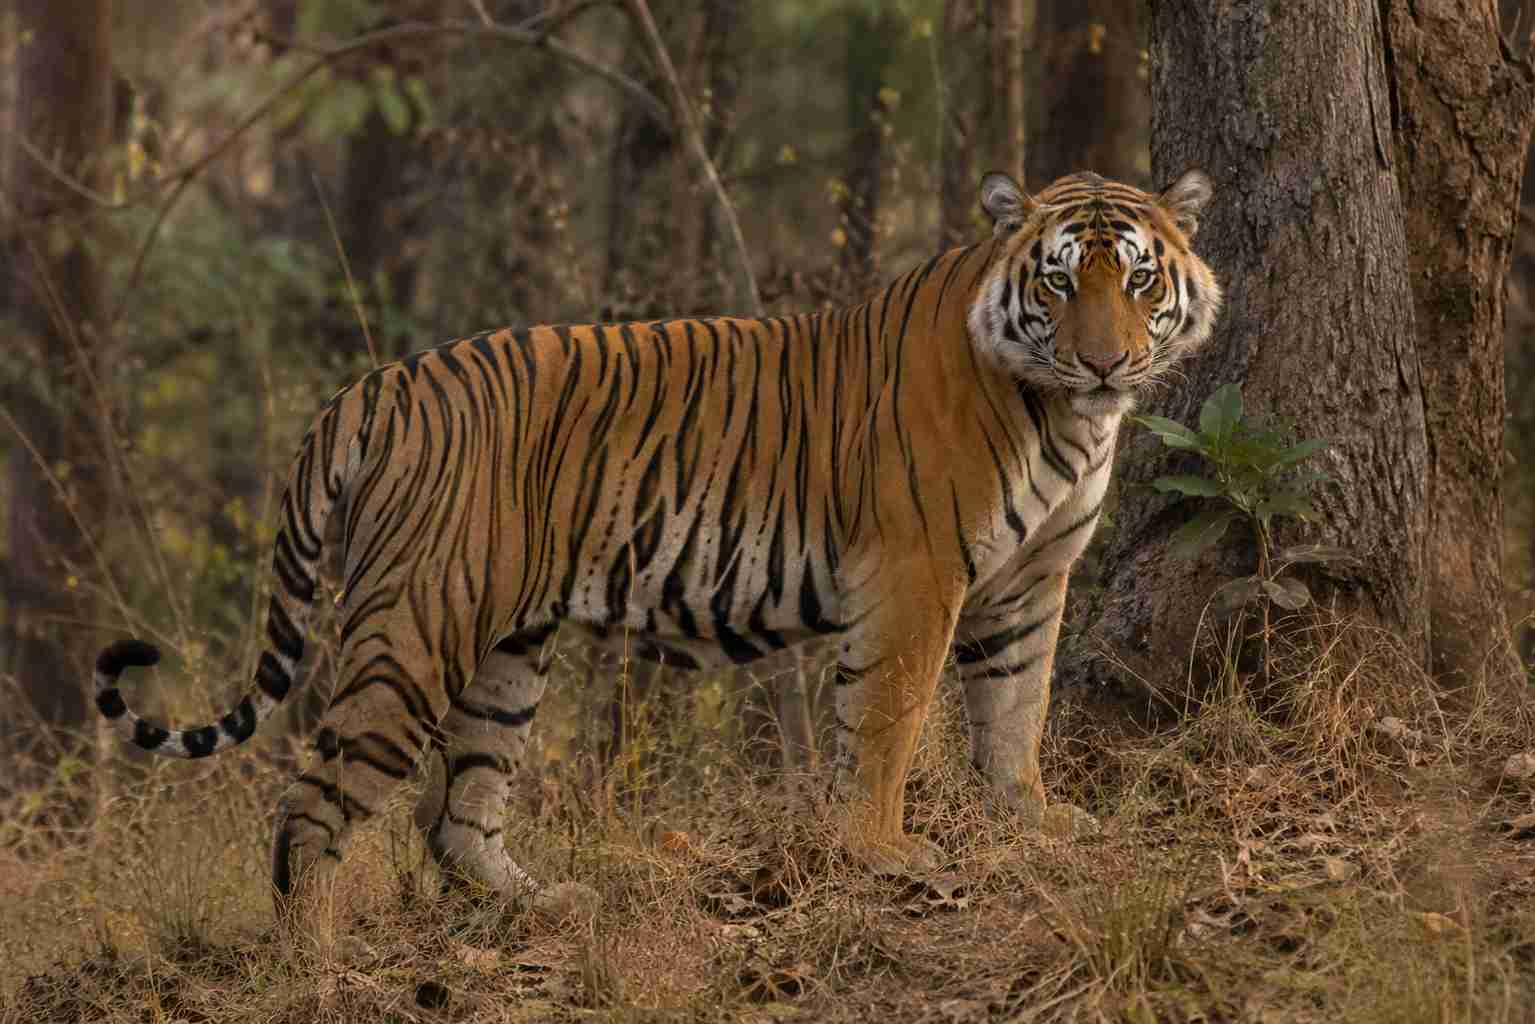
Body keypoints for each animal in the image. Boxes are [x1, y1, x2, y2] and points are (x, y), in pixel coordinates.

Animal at [94, 168, 1221, 948]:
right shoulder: (916, 571)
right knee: (311, 803)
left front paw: (1031, 819)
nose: (1104, 360)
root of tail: (375, 383)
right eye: (1058, 282)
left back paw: (542, 905)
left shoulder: (1029, 580)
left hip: (506, 649)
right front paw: (882, 848)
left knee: (457, 813)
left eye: (1137, 278)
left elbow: (1015, 706)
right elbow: (890, 720)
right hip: (415, 630)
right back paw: (316, 956)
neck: (1070, 417)